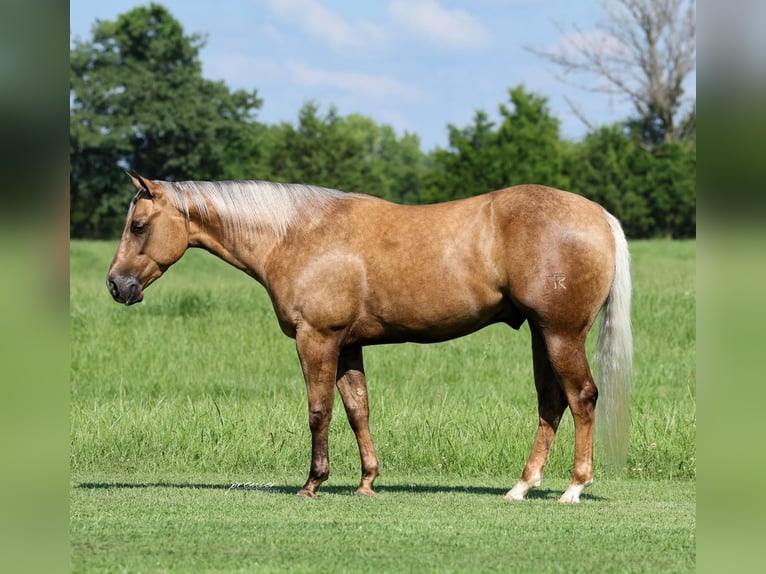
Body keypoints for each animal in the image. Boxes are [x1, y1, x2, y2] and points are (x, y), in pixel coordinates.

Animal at [107, 174, 632, 503]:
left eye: (138, 225)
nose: (116, 285)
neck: (296, 234)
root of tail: (600, 216)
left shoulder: (316, 340)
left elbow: (319, 411)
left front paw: (312, 484)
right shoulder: (348, 346)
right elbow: (358, 409)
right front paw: (366, 482)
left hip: (561, 334)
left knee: (582, 397)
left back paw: (573, 488)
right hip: (542, 335)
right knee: (551, 402)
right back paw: (522, 487)